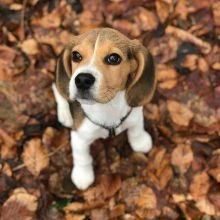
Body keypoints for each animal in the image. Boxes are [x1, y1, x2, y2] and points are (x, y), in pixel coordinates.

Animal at [52, 27, 156, 189]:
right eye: (76, 55)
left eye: (113, 58)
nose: (82, 79)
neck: (107, 106)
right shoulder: (79, 136)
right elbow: (82, 157)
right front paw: (82, 175)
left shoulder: (134, 113)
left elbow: (136, 128)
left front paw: (140, 141)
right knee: (58, 90)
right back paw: (65, 115)